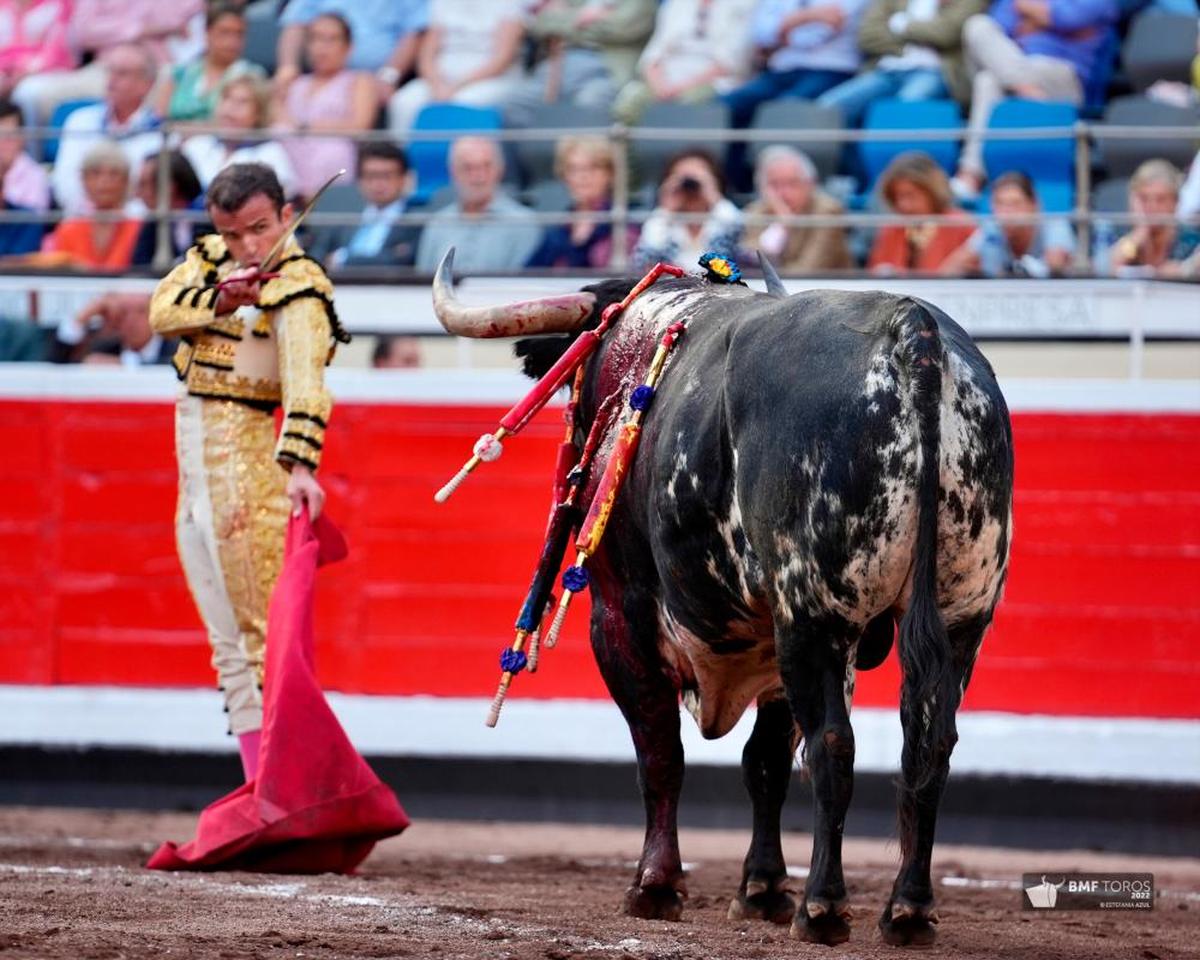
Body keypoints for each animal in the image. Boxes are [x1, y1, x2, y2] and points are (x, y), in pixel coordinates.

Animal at [432, 250, 1012, 950]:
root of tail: (915, 336)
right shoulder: (772, 641)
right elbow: (764, 761)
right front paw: (761, 889)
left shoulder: (620, 614)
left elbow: (660, 751)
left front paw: (655, 886)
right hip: (960, 617)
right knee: (929, 744)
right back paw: (908, 910)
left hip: (817, 615)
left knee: (834, 747)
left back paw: (823, 908)